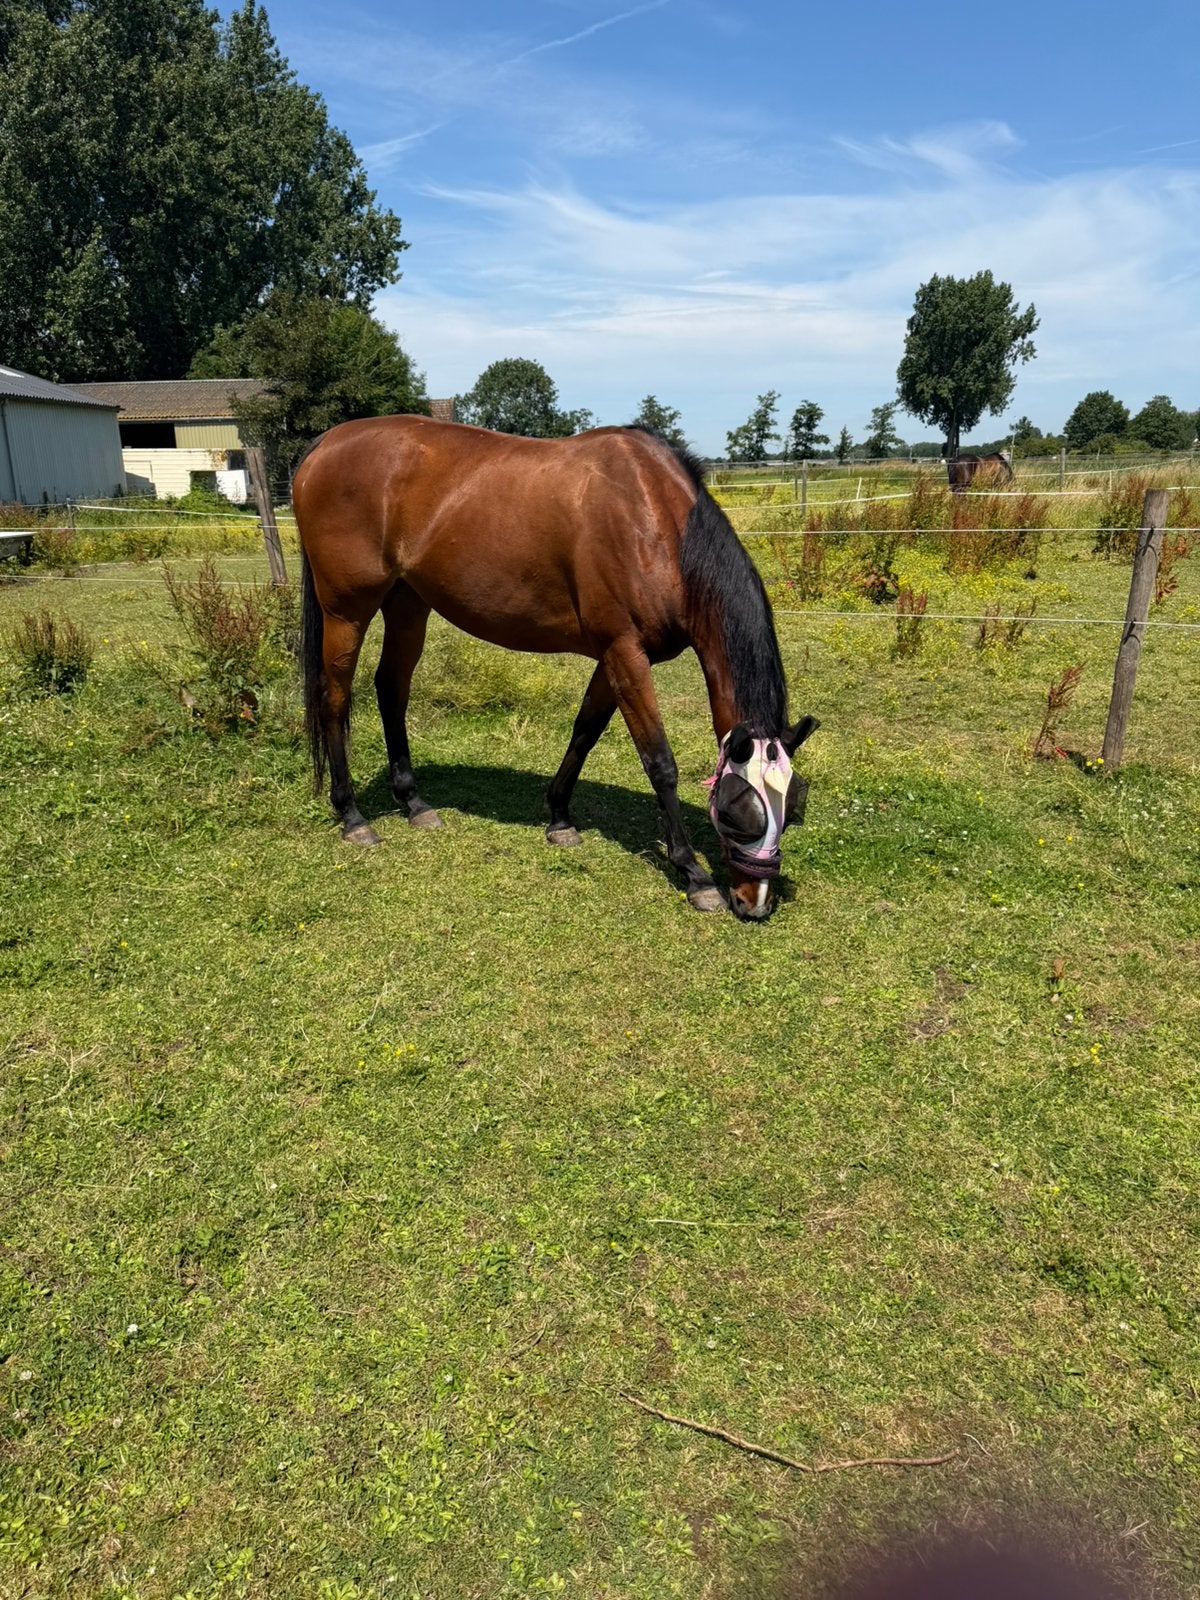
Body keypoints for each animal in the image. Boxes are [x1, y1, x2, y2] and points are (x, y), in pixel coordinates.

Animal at [291, 417, 819, 922]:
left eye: (794, 808)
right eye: (734, 812)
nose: (755, 903)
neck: (655, 524)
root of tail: (323, 446)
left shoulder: (615, 657)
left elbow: (584, 731)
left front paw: (560, 817)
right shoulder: (625, 653)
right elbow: (659, 763)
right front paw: (693, 873)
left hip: (407, 603)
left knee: (391, 689)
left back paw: (414, 801)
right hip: (346, 612)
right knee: (334, 698)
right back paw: (353, 816)